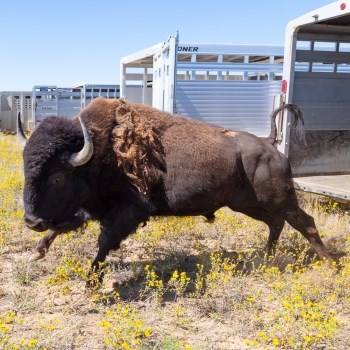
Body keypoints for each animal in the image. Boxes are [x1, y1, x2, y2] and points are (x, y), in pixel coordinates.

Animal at [20, 98, 332, 284]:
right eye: (26, 168)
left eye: (57, 177)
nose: (31, 221)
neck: (97, 151)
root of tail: (269, 144)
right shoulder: (90, 209)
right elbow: (62, 228)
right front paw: (36, 253)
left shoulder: (129, 212)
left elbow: (104, 242)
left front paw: (91, 280)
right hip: (247, 205)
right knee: (275, 223)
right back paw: (264, 257)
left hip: (281, 200)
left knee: (305, 223)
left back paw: (330, 263)